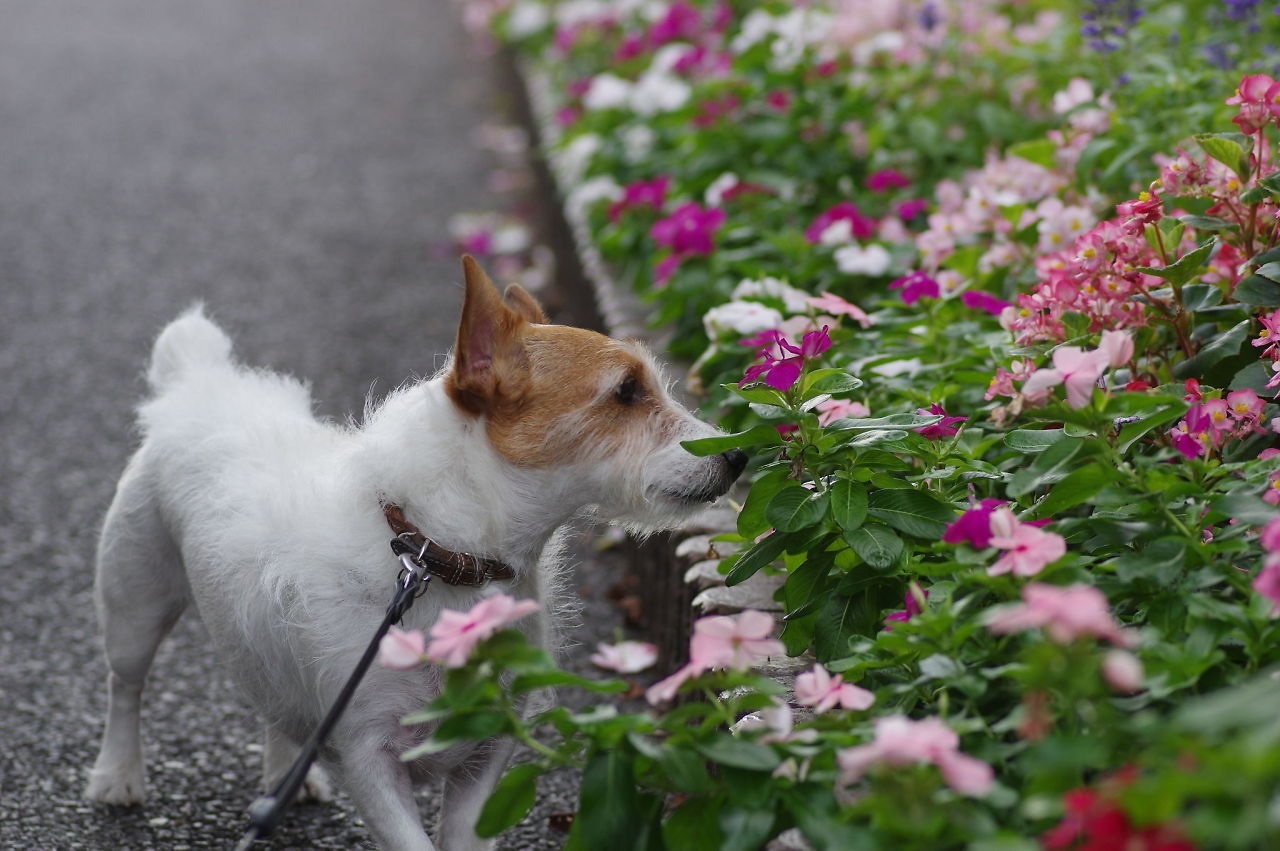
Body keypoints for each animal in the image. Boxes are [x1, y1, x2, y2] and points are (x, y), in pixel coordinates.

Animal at [85, 255, 747, 844]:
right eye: (626, 392)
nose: (738, 455)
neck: (438, 553)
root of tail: (198, 387)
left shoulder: (491, 750)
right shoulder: (369, 758)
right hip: (133, 600)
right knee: (125, 686)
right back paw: (118, 774)